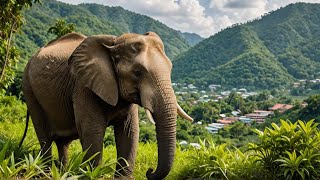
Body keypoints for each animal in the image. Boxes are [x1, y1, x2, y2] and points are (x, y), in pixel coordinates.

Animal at [21, 31, 194, 179]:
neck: (114, 43)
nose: (149, 171)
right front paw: (92, 175)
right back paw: (45, 172)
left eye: (170, 69)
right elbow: (93, 131)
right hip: (28, 88)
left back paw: (62, 172)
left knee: (62, 142)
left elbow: (129, 132)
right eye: (137, 72)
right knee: (44, 135)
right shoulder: (83, 86)